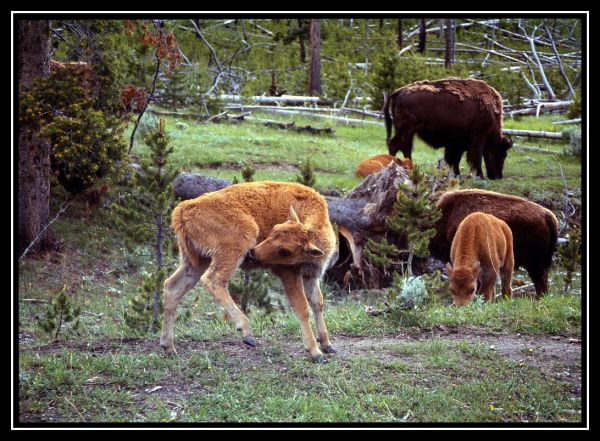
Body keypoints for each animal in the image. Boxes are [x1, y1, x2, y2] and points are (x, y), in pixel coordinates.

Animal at [159, 180, 338, 362]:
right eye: (273, 230)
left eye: (285, 250)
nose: (253, 253)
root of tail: (183, 208)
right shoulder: (289, 274)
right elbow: (302, 307)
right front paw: (315, 352)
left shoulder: (311, 275)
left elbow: (317, 303)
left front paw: (327, 345)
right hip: (234, 247)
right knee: (213, 280)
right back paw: (247, 333)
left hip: (197, 260)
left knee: (173, 287)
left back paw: (168, 347)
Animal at [382, 78, 512, 179]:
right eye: (503, 153)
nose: (498, 177)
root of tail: (400, 91)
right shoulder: (478, 137)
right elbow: (475, 157)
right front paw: (480, 176)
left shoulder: (456, 143)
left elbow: (454, 159)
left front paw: (456, 174)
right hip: (405, 130)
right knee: (394, 145)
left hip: (408, 132)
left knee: (405, 148)